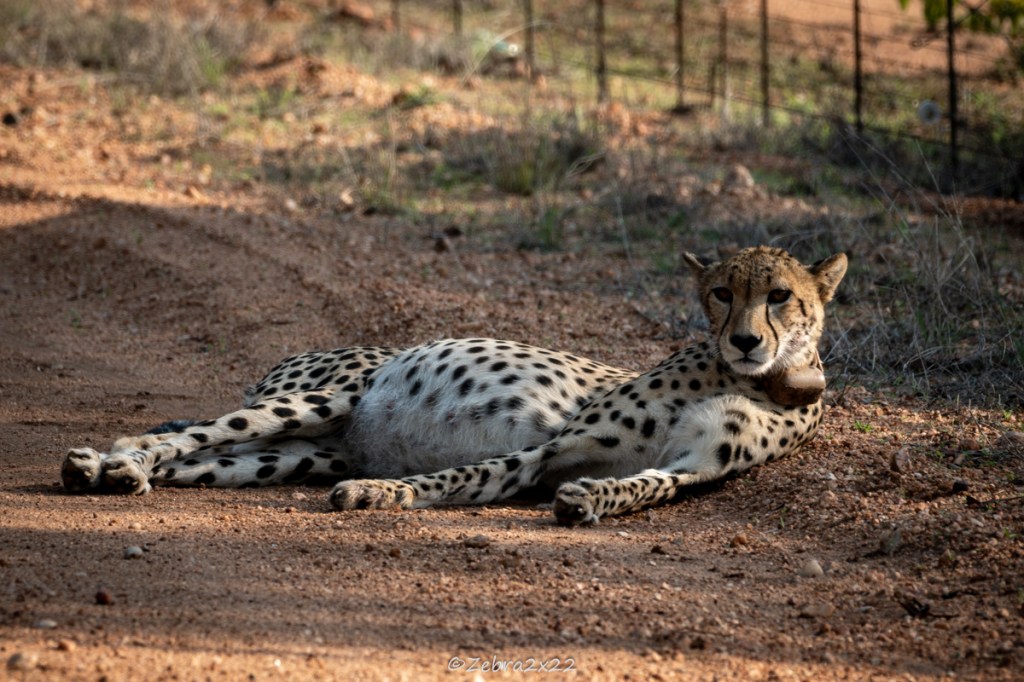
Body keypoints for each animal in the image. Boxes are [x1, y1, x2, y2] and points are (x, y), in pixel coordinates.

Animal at [61, 246, 847, 525]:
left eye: (780, 296)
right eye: (721, 293)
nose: (745, 339)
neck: (762, 379)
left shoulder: (695, 469)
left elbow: (647, 485)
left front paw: (590, 501)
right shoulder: (552, 447)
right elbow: (460, 476)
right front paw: (381, 495)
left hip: (300, 454)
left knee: (204, 459)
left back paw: (115, 474)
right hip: (319, 400)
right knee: (184, 434)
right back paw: (104, 461)